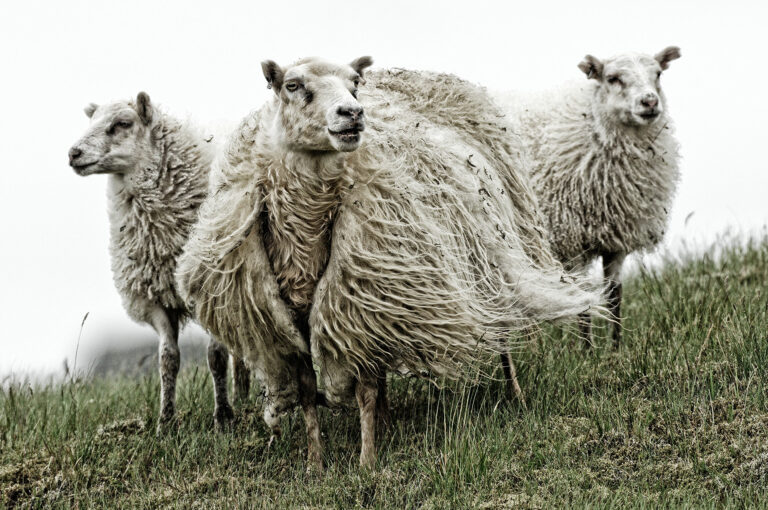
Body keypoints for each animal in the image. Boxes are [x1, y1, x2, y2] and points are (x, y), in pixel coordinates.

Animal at [67, 93, 250, 432]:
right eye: (91, 121)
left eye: (122, 123)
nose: (74, 153)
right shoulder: (155, 299)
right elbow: (168, 359)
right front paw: (165, 422)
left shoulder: (209, 290)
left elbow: (216, 356)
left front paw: (223, 418)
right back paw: (243, 396)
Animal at [178, 57, 600, 468]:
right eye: (293, 86)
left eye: (353, 84)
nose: (352, 112)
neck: (306, 231)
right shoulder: (296, 319)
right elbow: (308, 392)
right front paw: (316, 464)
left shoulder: (356, 302)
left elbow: (364, 389)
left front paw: (367, 463)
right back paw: (385, 417)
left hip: (485, 262)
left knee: (501, 332)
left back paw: (515, 395)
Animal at [496, 46, 680, 346]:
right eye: (613, 78)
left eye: (658, 74)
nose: (650, 101)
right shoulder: (570, 239)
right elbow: (583, 299)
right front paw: (587, 350)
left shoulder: (617, 242)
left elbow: (615, 294)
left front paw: (615, 347)